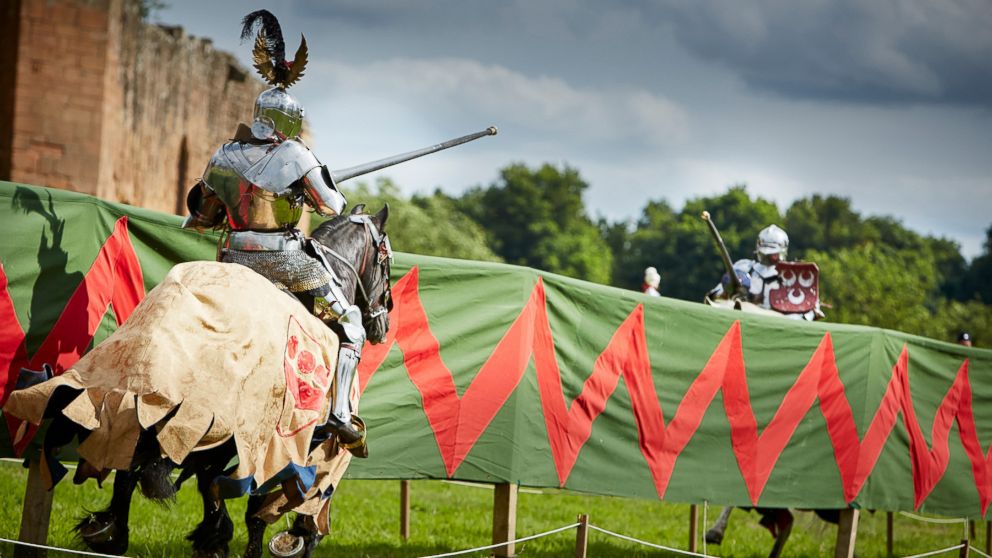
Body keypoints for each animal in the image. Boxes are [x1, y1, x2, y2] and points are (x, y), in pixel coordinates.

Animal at [7, 206, 396, 558]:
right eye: (385, 260)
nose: (383, 323)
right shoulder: (282, 439)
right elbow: (265, 500)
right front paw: (285, 539)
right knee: (169, 469)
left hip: (140, 401)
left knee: (132, 457)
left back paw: (113, 531)